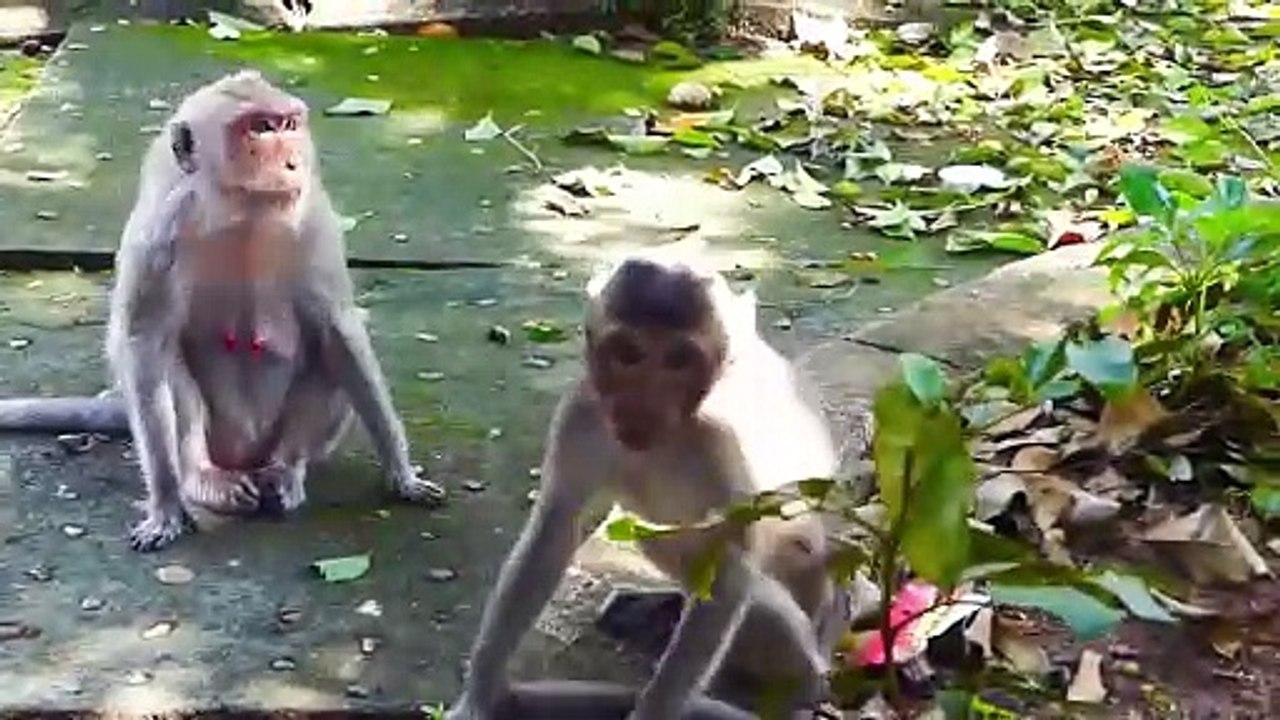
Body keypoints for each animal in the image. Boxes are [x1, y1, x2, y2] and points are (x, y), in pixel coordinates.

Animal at [0, 71, 445, 552]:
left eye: (289, 124)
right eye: (261, 128)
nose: (293, 164)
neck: (240, 210)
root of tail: (245, 455)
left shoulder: (314, 216)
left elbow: (338, 329)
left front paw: (402, 475)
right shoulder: (160, 229)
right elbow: (142, 342)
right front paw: (165, 504)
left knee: (327, 357)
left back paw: (286, 469)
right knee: (167, 371)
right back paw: (202, 478)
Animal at [443, 255, 849, 720]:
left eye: (679, 360)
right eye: (628, 354)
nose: (642, 404)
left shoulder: (721, 442)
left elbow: (729, 572)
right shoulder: (582, 413)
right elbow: (555, 528)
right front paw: (480, 691)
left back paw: (804, 683)